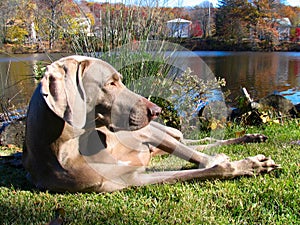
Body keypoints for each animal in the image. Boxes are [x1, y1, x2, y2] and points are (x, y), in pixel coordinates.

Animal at [22, 55, 278, 192]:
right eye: (111, 83)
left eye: (120, 80)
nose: (156, 111)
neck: (73, 145)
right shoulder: (130, 180)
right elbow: (206, 169)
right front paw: (248, 164)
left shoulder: (145, 134)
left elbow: (199, 158)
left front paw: (242, 161)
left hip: (160, 131)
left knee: (190, 143)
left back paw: (251, 137)